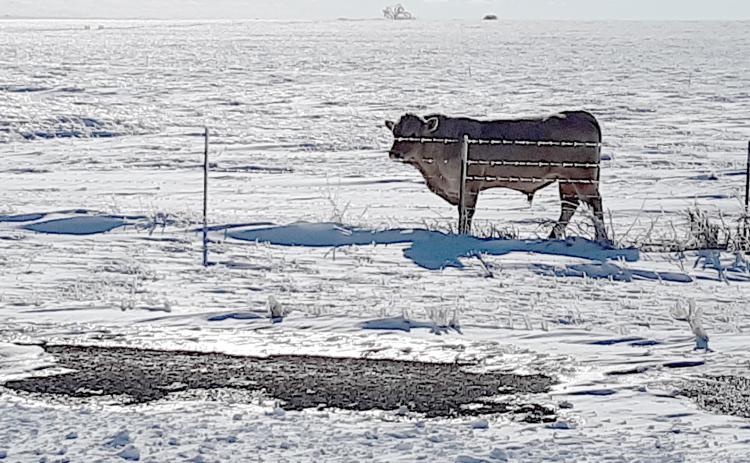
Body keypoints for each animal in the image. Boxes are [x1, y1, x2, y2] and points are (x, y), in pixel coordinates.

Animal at [385, 111, 607, 241]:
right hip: (566, 179)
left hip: (582, 176)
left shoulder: (469, 184)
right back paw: (552, 236)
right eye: (395, 133)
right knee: (569, 206)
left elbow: (465, 214)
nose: (394, 153)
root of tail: (581, 115)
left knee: (594, 203)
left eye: (413, 135)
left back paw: (602, 238)